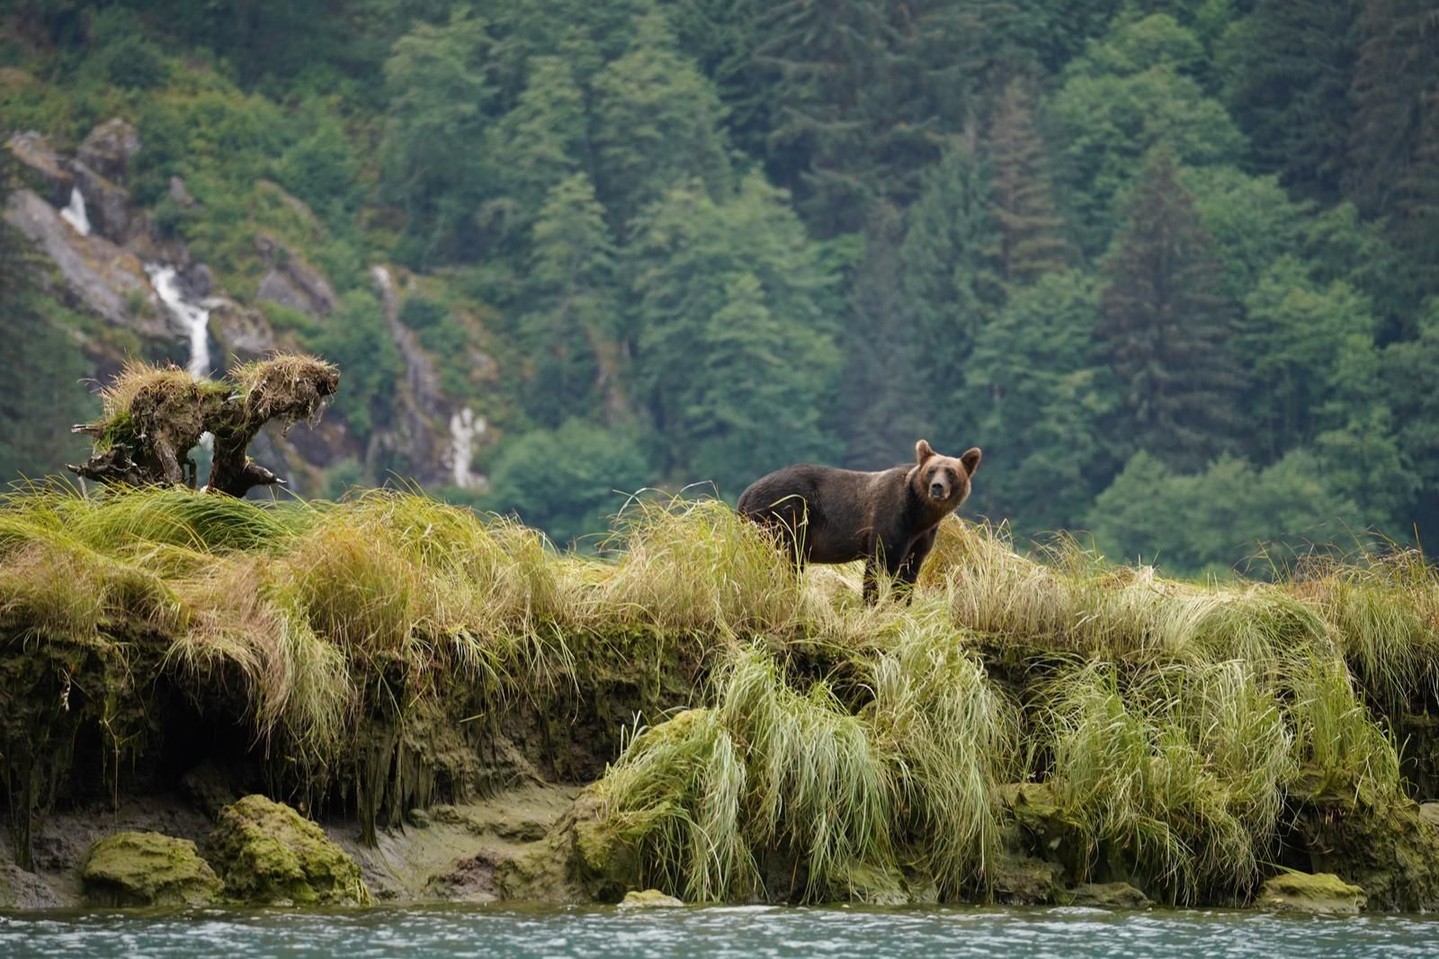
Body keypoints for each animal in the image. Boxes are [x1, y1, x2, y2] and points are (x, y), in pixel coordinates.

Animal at [736, 437, 984, 601]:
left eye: (951, 472)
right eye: (932, 470)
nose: (937, 487)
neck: (919, 515)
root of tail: (746, 493)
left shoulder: (923, 536)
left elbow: (910, 572)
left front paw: (902, 603)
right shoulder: (890, 520)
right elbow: (880, 565)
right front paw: (873, 604)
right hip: (784, 514)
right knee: (784, 559)